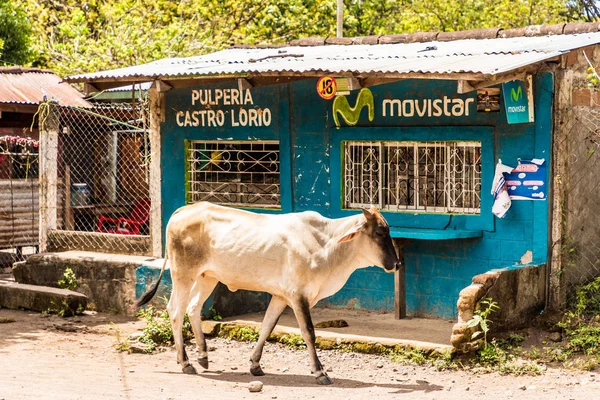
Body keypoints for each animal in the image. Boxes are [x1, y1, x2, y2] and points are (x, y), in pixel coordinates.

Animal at [136, 203, 398, 384]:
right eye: (379, 233)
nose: (396, 264)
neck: (326, 245)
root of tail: (183, 210)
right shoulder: (298, 296)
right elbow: (309, 332)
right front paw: (319, 371)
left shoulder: (281, 296)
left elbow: (267, 327)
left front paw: (255, 365)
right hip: (183, 274)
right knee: (175, 311)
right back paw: (186, 362)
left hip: (207, 277)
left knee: (193, 308)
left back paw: (202, 355)